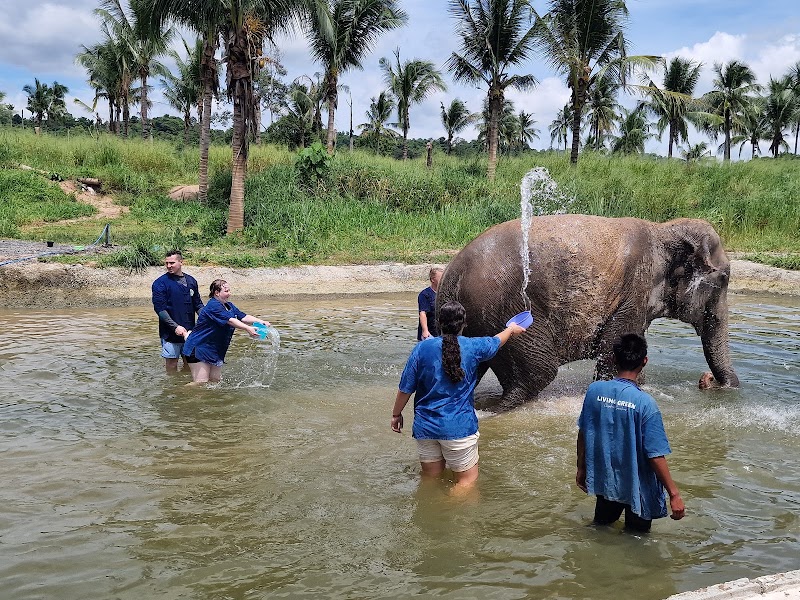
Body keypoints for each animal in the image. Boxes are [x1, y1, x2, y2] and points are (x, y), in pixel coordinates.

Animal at [436, 214, 740, 410]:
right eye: (724, 278)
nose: (707, 381)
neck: (664, 230)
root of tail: (452, 272)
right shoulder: (635, 288)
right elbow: (614, 352)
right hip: (505, 307)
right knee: (538, 373)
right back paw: (498, 408)